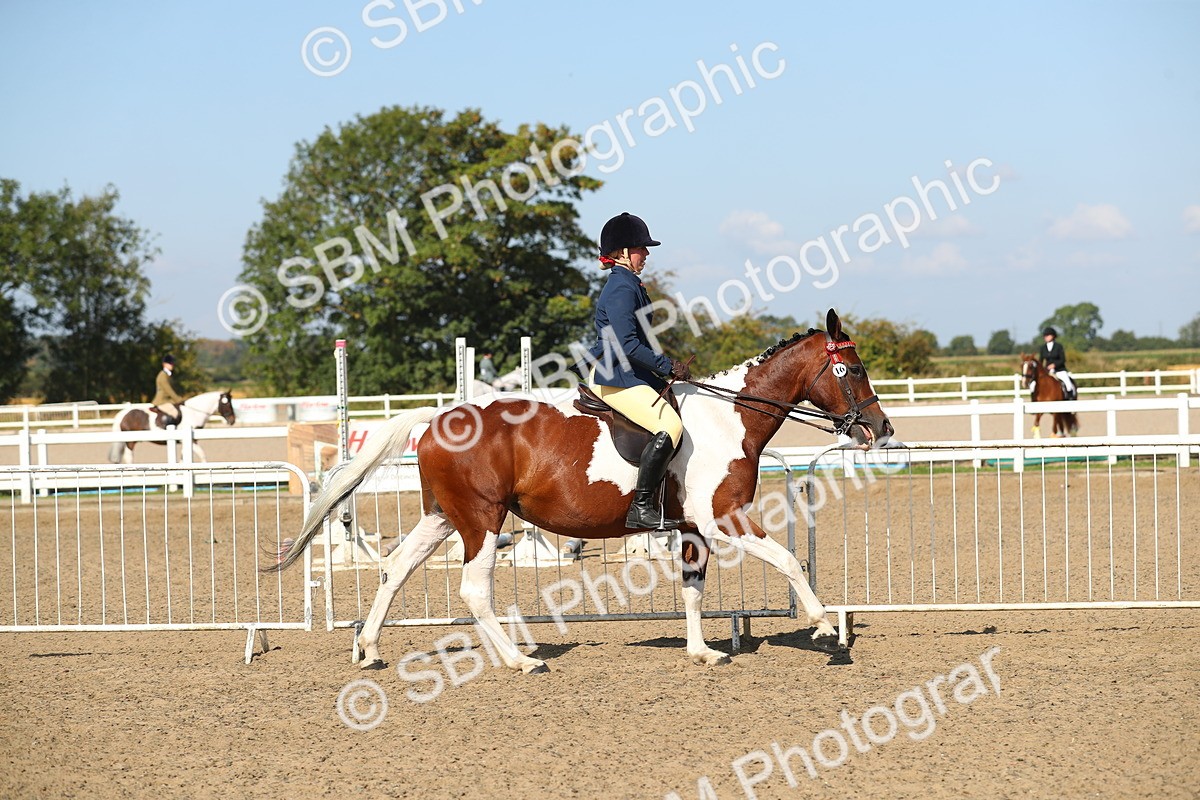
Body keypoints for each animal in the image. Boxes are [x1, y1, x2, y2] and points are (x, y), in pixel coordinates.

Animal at [107, 390, 236, 463]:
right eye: (226, 403)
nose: (232, 420)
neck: (193, 413)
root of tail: (123, 413)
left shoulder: (186, 441)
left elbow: (183, 457)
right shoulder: (192, 440)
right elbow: (202, 454)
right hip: (131, 441)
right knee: (129, 457)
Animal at [271, 309, 893, 672]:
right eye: (853, 369)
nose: (880, 428)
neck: (730, 418)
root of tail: (440, 417)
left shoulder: (695, 527)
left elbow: (693, 588)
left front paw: (702, 651)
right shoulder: (725, 518)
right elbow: (789, 561)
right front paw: (826, 630)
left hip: (443, 516)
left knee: (395, 568)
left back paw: (372, 651)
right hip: (482, 521)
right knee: (473, 588)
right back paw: (520, 662)